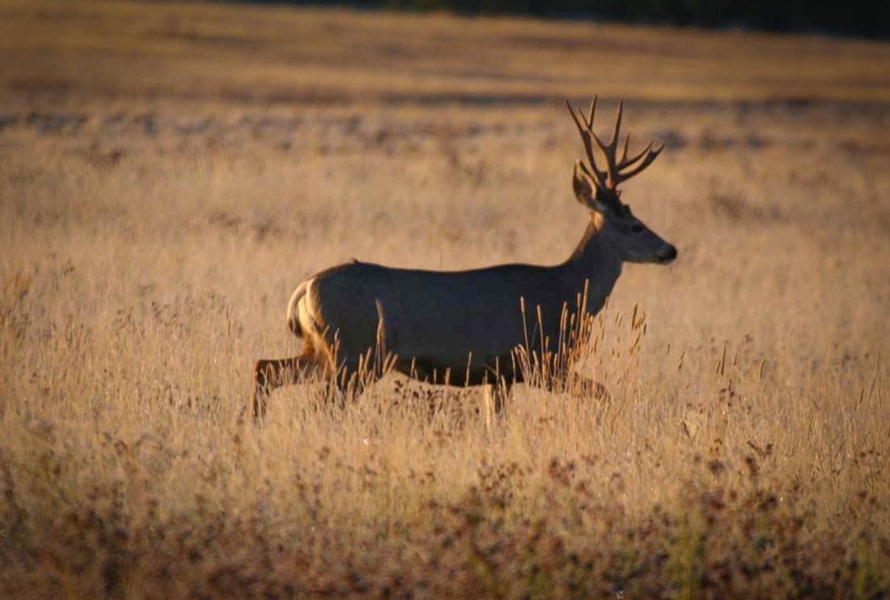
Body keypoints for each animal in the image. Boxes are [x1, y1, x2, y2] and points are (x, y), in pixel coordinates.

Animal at [250, 98, 672, 424]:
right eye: (635, 225)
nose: (670, 250)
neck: (565, 293)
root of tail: (304, 289)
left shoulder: (497, 374)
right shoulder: (536, 360)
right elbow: (603, 393)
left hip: (325, 349)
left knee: (265, 368)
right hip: (356, 353)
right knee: (320, 404)